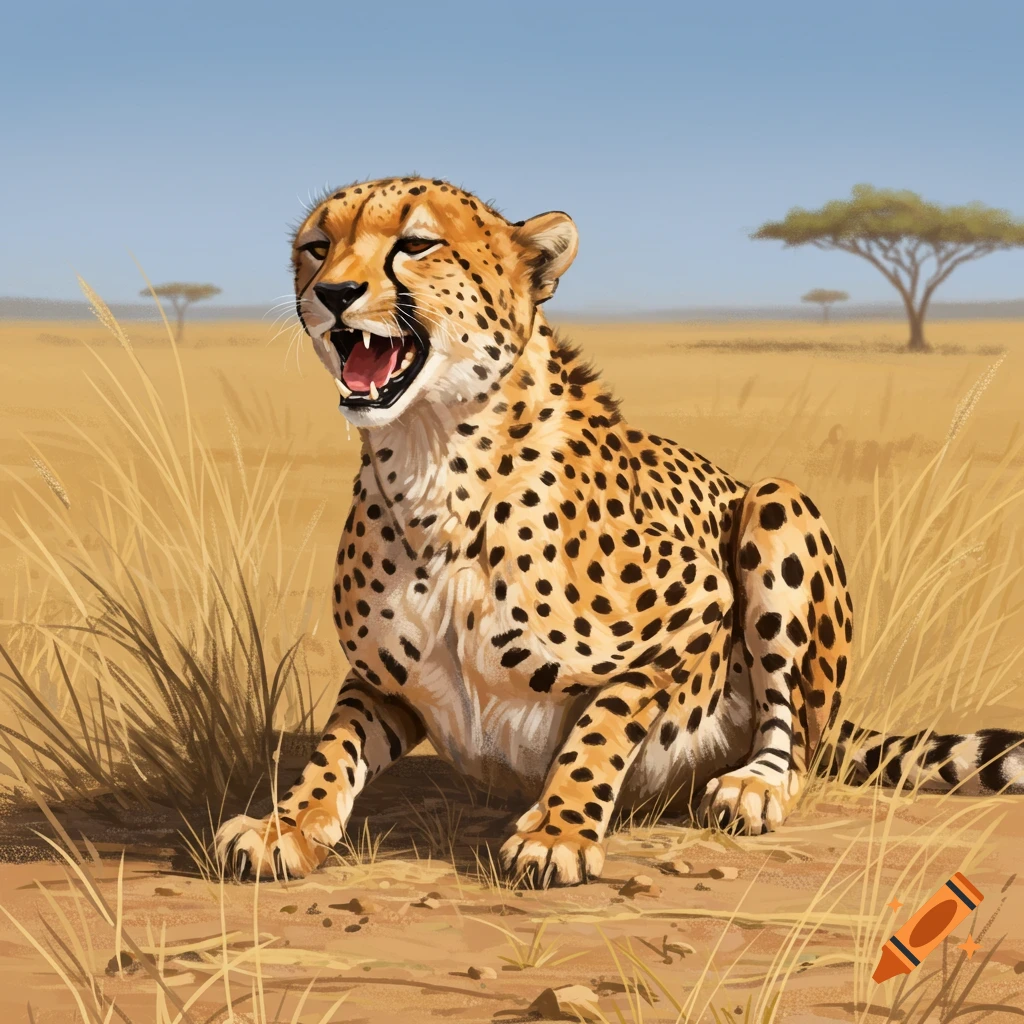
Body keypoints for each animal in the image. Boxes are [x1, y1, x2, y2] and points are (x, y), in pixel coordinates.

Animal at [215, 176, 1024, 887]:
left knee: (794, 731)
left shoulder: (695, 615)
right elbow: (333, 748)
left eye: (416, 244)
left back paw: (754, 785)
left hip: (777, 505)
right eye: (317, 247)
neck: (435, 465)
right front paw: (285, 825)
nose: (333, 294)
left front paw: (556, 831)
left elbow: (602, 725)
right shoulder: (381, 681)